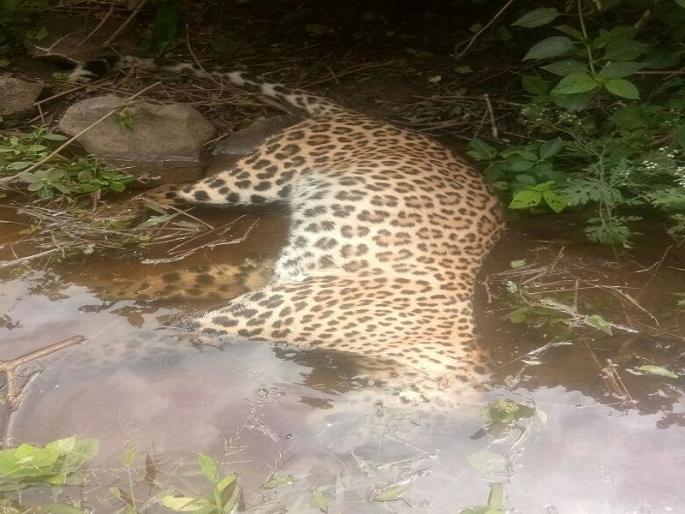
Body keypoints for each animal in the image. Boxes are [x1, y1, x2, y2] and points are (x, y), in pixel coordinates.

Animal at [72, 58, 506, 403]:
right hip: (260, 175)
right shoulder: (231, 317)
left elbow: (178, 281)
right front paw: (75, 360)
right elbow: (142, 341)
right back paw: (101, 223)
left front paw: (112, 288)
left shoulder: (261, 277)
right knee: (174, 189)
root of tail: (363, 117)